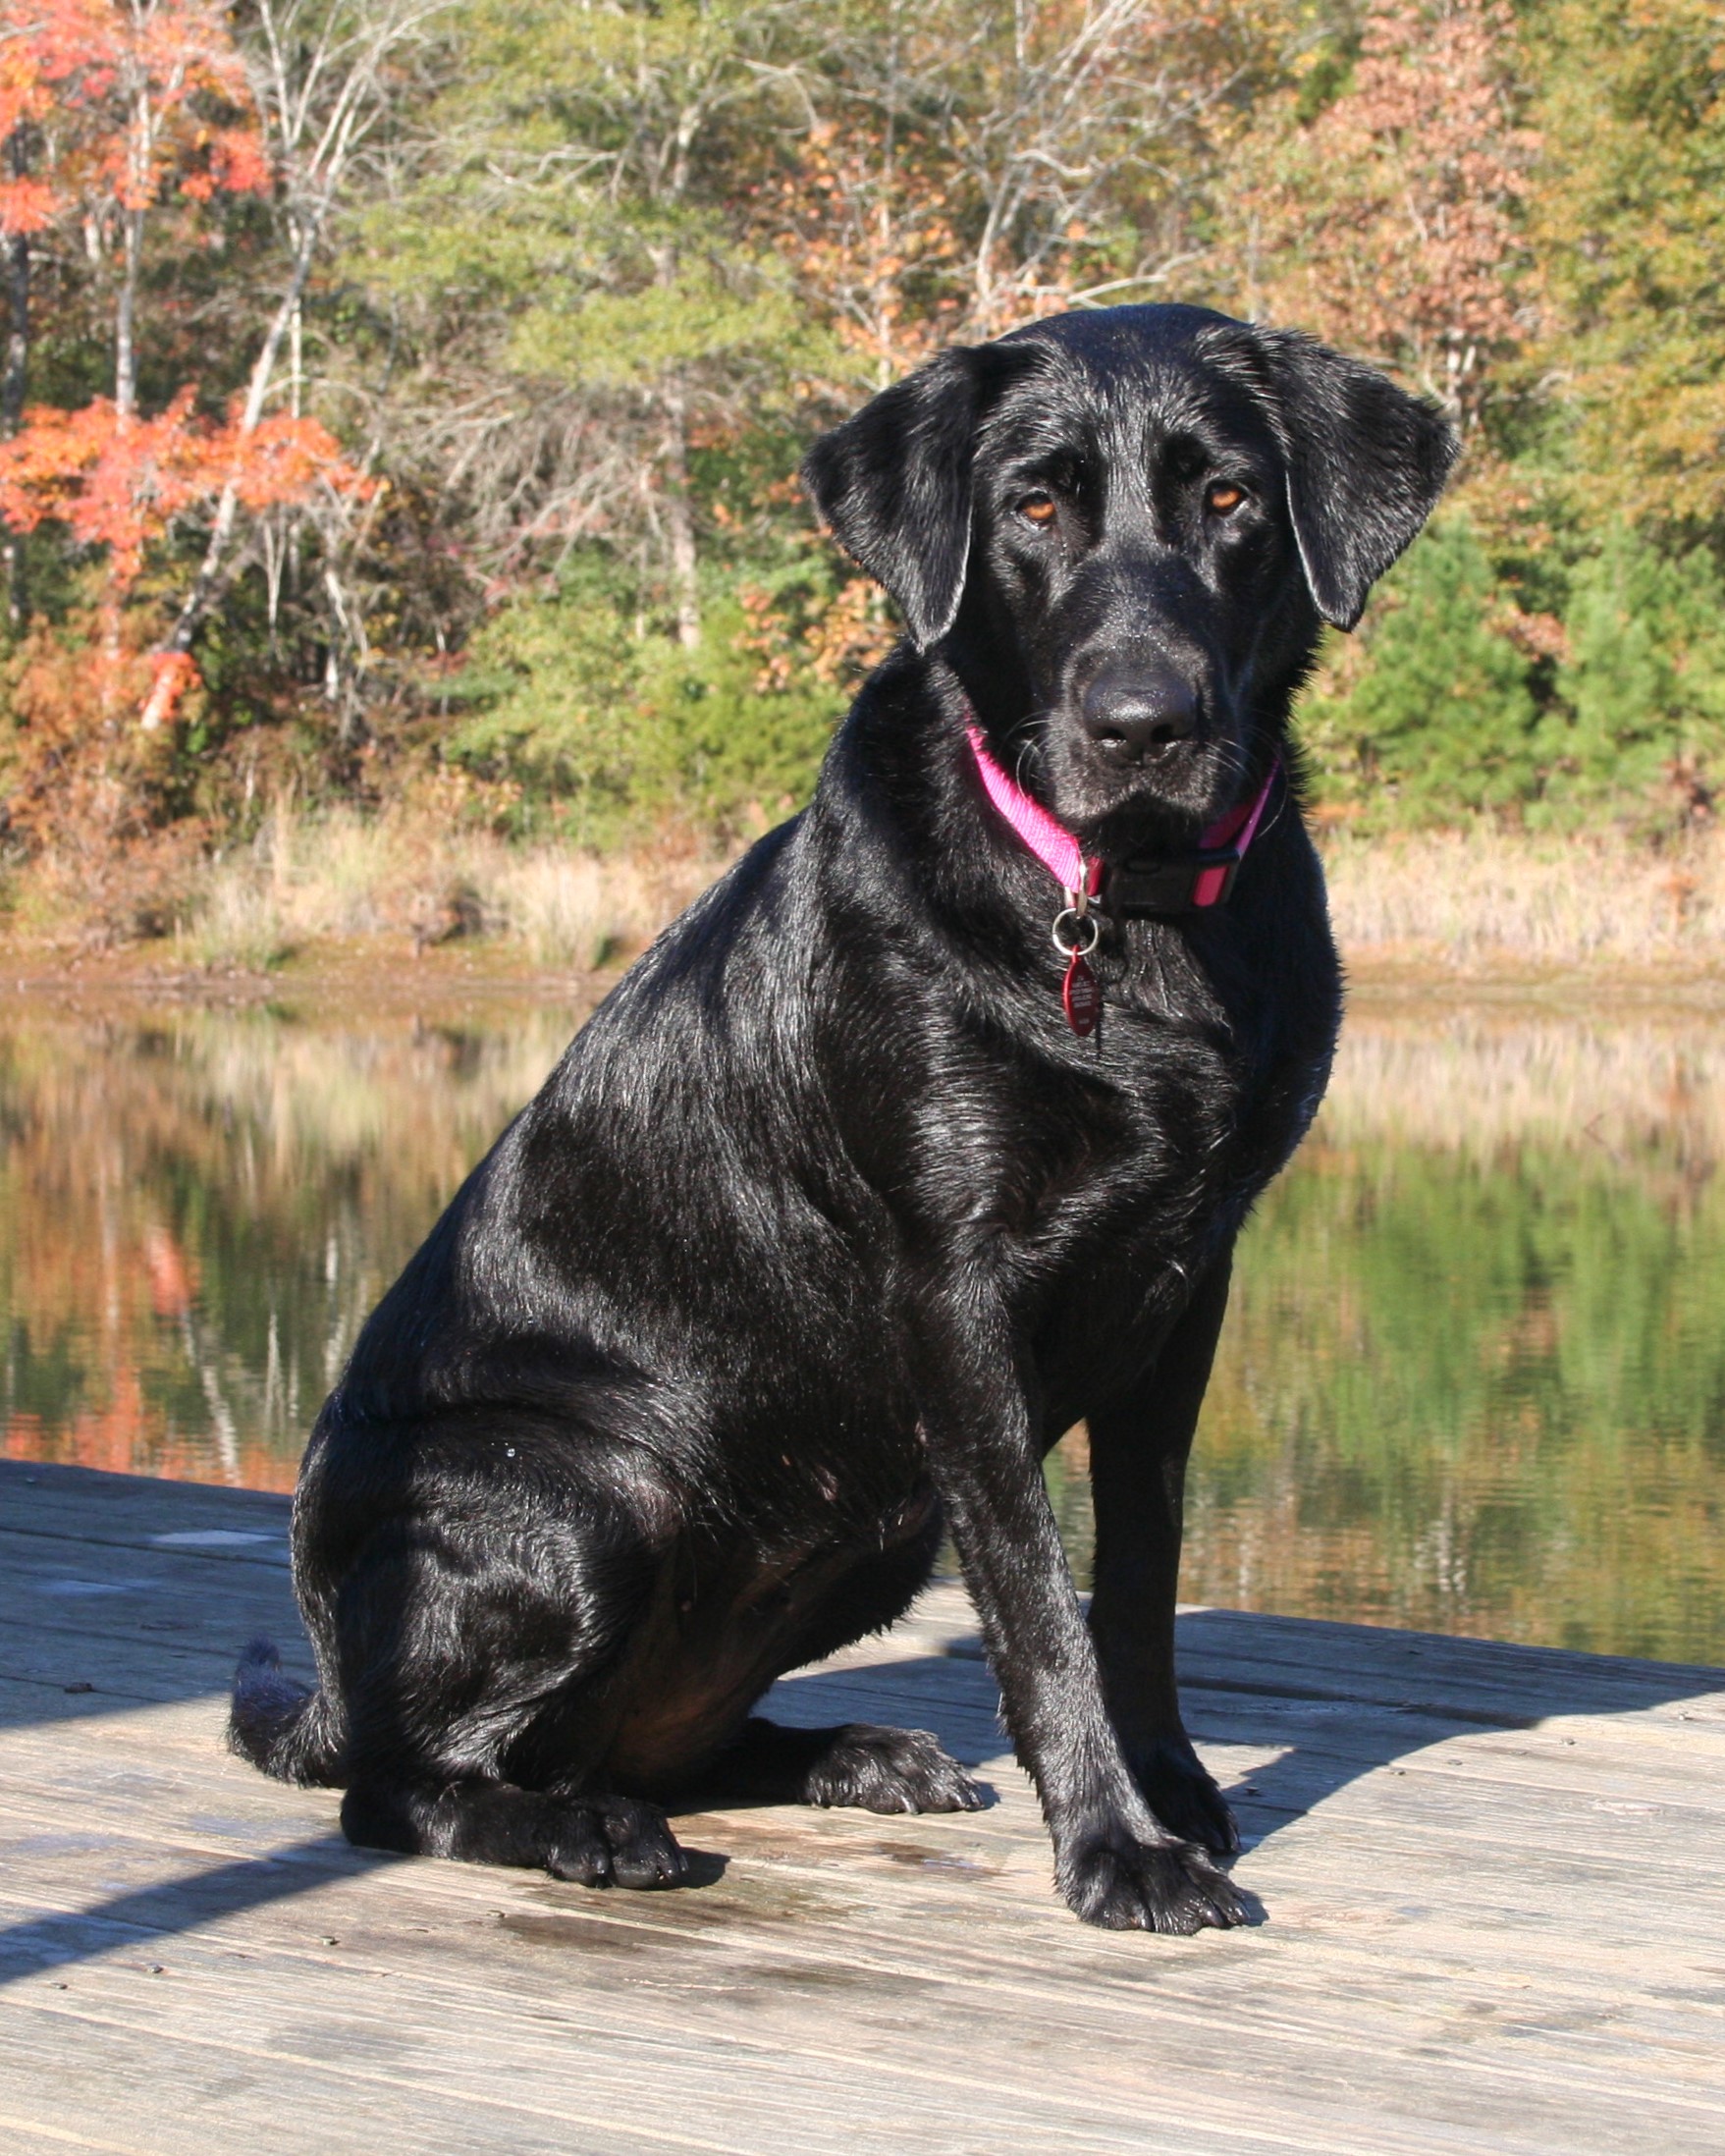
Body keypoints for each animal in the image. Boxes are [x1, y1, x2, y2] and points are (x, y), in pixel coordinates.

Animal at [228, 303, 1457, 1940]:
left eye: (1229, 499)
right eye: (1036, 506)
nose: (1143, 722)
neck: (1118, 913)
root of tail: (319, 1666)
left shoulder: (1190, 1280)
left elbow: (1134, 1577)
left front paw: (1171, 1789)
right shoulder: (956, 1293)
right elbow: (1035, 1599)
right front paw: (1115, 1847)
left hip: (865, 1531)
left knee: (653, 1740)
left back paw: (849, 1754)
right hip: (587, 1489)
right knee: (401, 1787)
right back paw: (580, 1831)